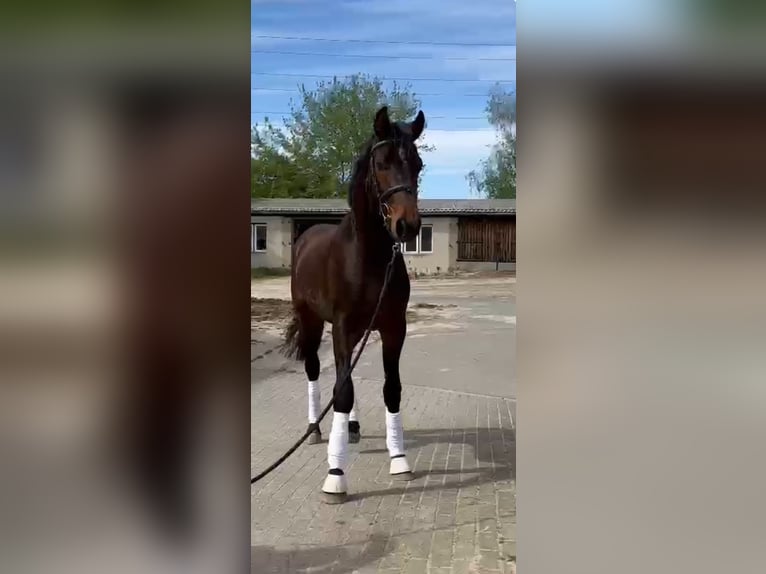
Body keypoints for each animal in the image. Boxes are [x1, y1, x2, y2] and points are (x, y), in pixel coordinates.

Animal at [282, 107, 426, 504]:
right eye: (381, 163)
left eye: (418, 164)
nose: (407, 226)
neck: (369, 257)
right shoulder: (343, 326)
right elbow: (341, 392)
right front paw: (335, 475)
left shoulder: (393, 327)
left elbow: (390, 388)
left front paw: (399, 459)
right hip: (313, 323)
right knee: (317, 370)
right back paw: (316, 428)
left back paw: (354, 426)